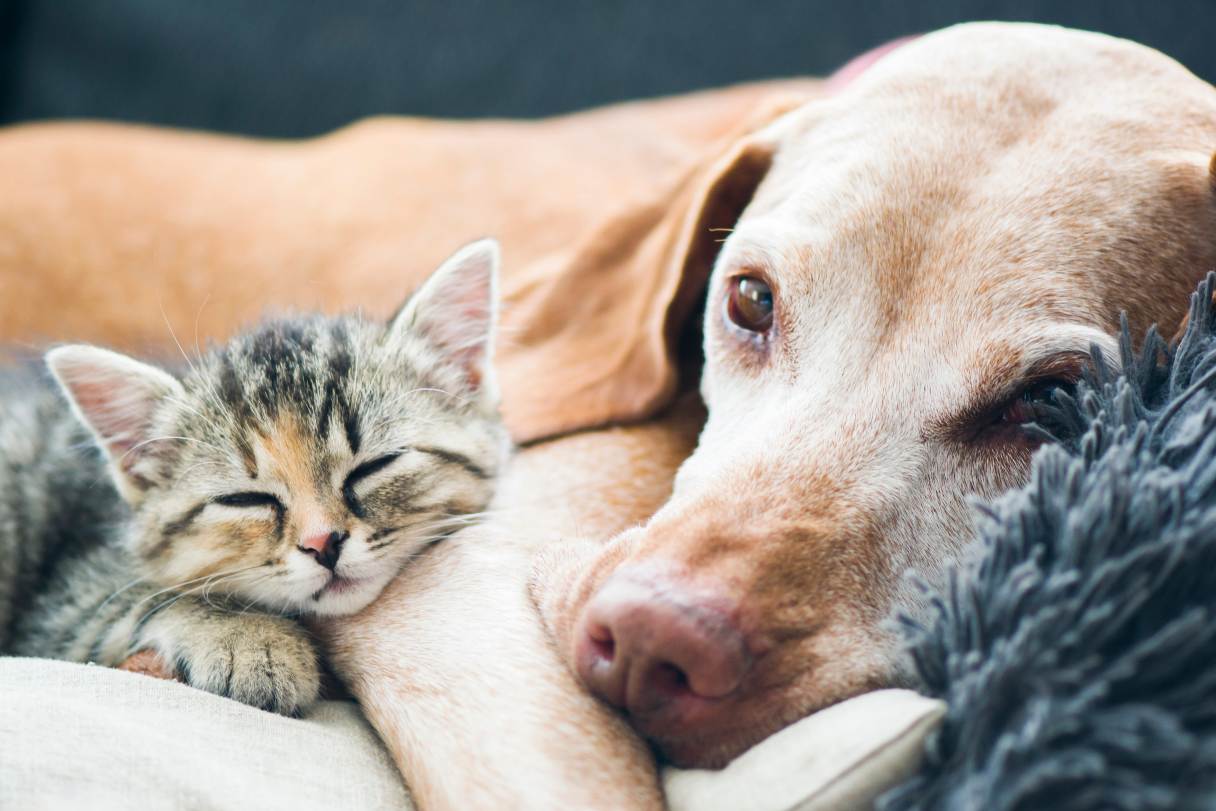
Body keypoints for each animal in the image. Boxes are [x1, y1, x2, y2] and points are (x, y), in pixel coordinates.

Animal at [0, 238, 508, 714]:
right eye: (245, 499)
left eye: (374, 466)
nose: (323, 543)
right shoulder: (59, 607)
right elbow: (150, 596)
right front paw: (252, 641)